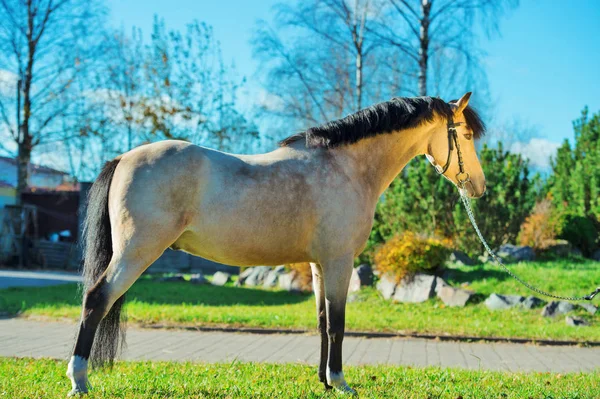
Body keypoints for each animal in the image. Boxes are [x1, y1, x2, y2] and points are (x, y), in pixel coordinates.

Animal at [67, 93, 488, 396]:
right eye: (466, 136)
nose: (479, 188)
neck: (346, 169)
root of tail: (124, 158)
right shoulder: (340, 262)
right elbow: (338, 324)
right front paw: (340, 382)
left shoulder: (319, 265)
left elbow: (322, 322)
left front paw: (324, 381)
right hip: (135, 253)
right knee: (96, 300)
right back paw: (79, 379)